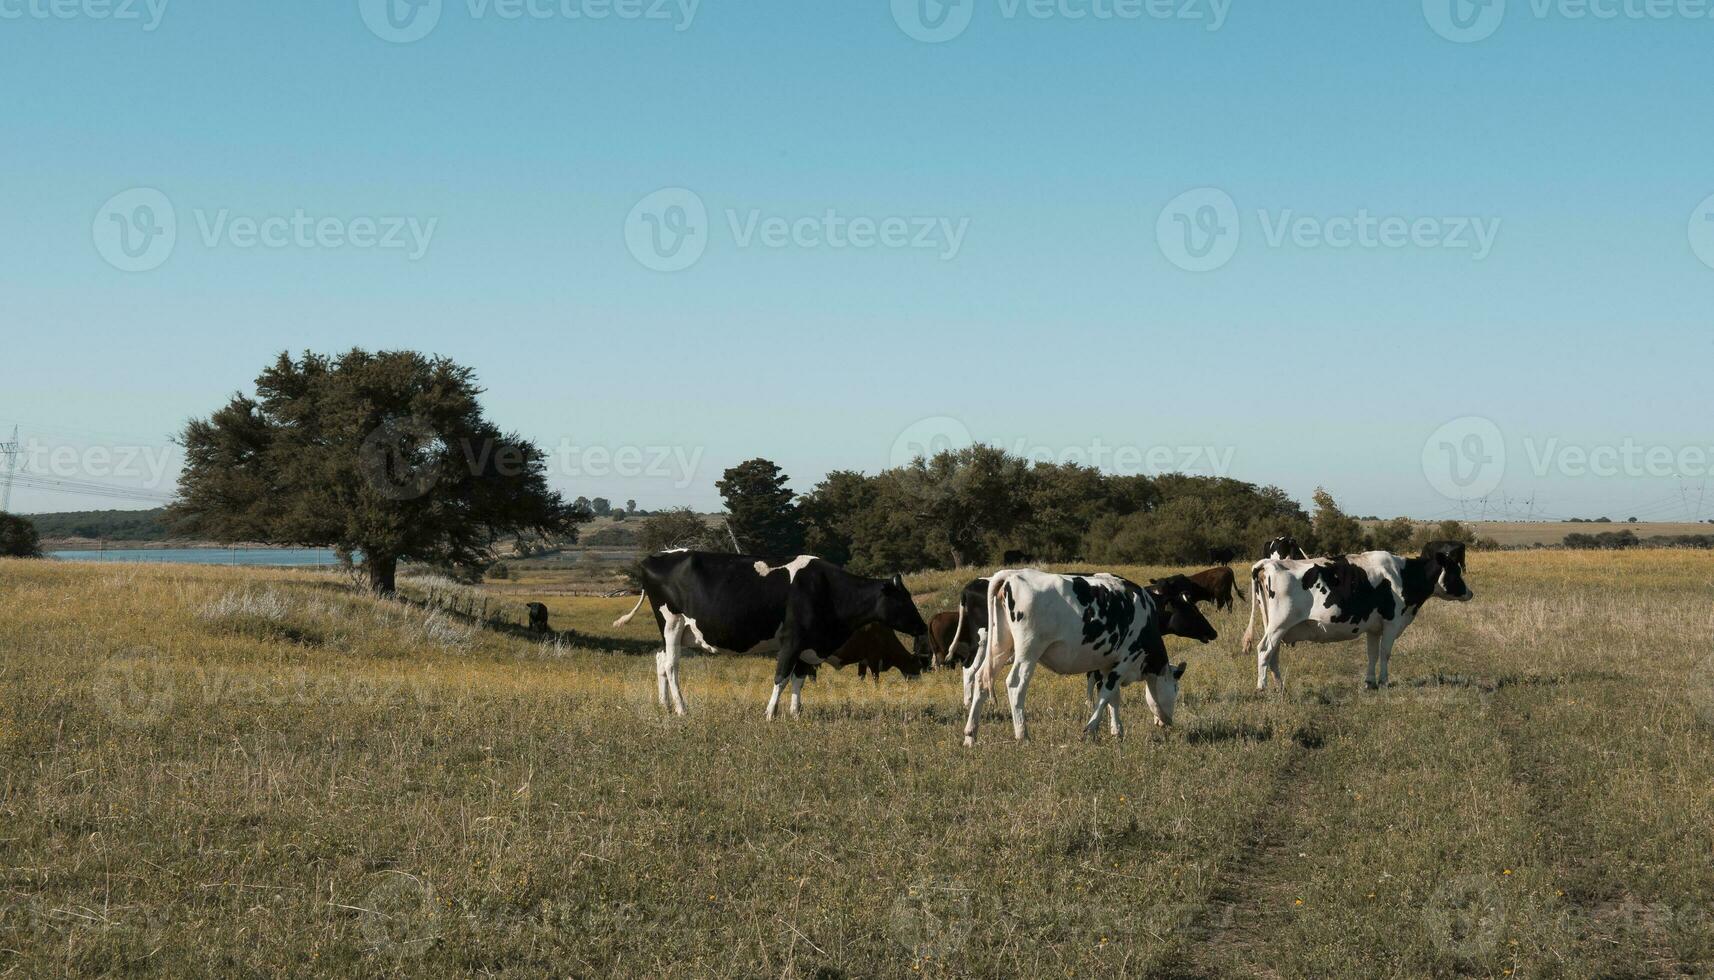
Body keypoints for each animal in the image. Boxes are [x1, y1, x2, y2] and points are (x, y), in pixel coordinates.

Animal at [613, 551, 932, 719]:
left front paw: (795, 713)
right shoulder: (792, 641)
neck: (827, 590)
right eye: (904, 600)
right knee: (671, 665)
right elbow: (781, 677)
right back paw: (681, 708)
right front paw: (770, 713)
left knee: (659, 660)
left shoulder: (807, 645)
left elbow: (799, 679)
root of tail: (655, 557)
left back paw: (665, 704)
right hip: (672, 623)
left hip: (673, 633)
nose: (922, 626)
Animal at [966, 565, 1220, 743]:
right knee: (1015, 685)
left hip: (1000, 647)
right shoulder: (1123, 661)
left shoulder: (1108, 664)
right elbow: (1106, 695)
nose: (1167, 721)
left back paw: (971, 734)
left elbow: (1114, 698)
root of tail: (1011, 575)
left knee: (980, 679)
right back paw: (1022, 734)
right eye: (1176, 689)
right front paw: (1090, 730)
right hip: (1028, 652)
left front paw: (1117, 731)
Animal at [1247, 541, 1474, 692]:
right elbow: (1385, 653)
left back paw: (1280, 686)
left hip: (1275, 626)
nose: (1470, 593)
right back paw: (1262, 687)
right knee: (1264, 650)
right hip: (1279, 625)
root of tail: (1269, 564)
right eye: (1455, 572)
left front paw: (1369, 682)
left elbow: (1372, 653)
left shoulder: (1373, 627)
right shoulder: (1392, 623)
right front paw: (1384, 682)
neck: (1403, 575)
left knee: (1273, 654)